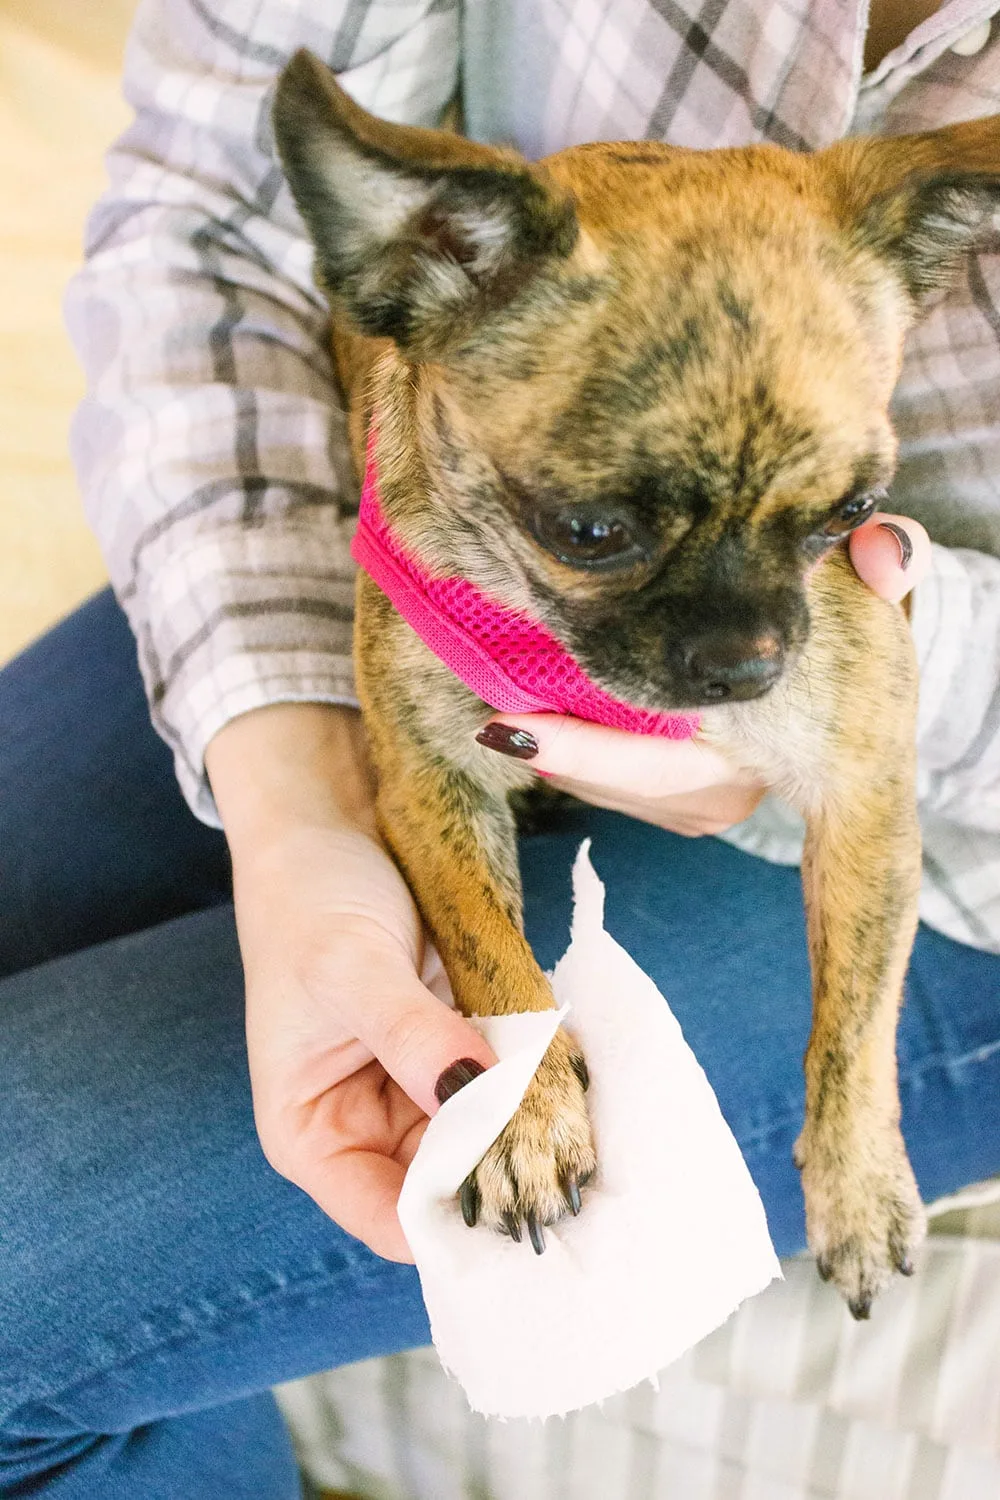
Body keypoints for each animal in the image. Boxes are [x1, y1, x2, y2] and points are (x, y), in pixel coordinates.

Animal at [271, 46, 1000, 1320]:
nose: (749, 658)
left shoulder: (864, 802)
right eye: (591, 531)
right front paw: (521, 1116)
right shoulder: (430, 794)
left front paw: (858, 1180)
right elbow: (493, 967)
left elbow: (856, 1021)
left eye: (854, 515)